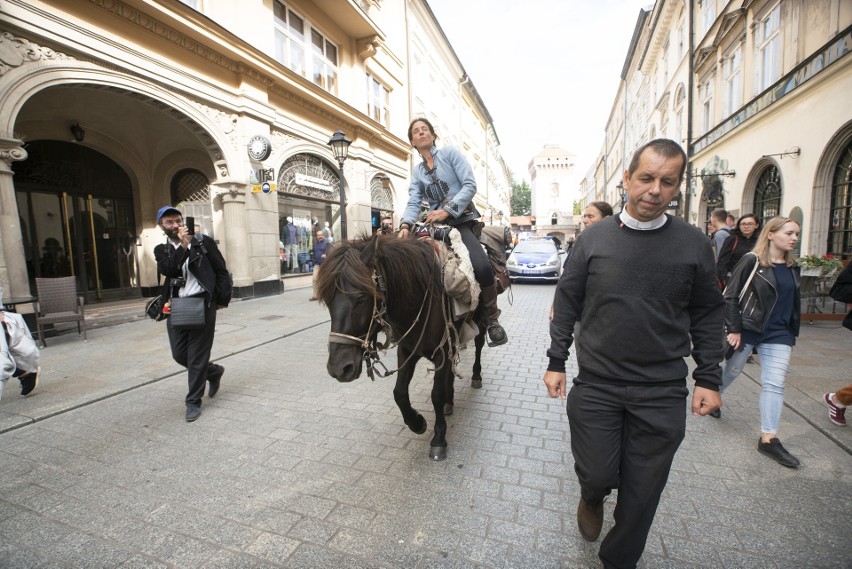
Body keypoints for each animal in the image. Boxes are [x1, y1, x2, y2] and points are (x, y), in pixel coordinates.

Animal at [316, 229, 510, 460]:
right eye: (327, 300)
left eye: (362, 297)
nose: (339, 368)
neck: (418, 298)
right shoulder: (408, 349)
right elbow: (399, 392)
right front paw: (417, 423)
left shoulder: (441, 351)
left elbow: (436, 394)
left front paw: (438, 439)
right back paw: (450, 402)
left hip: (479, 322)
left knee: (479, 345)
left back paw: (477, 375)